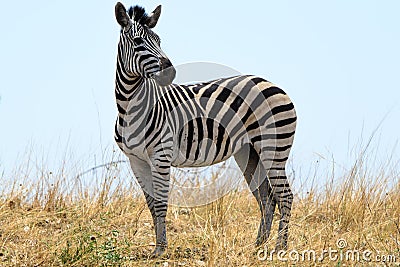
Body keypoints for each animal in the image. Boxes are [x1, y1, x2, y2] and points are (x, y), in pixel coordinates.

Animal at [114, 2, 296, 258]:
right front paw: (158, 247)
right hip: (249, 152)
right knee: (267, 198)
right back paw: (258, 247)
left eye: (159, 40)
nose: (169, 72)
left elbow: (160, 203)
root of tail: (271, 83)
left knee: (285, 195)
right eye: (139, 42)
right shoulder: (135, 160)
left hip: (274, 147)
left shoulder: (161, 155)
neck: (131, 106)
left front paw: (160, 250)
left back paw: (280, 248)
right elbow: (150, 204)